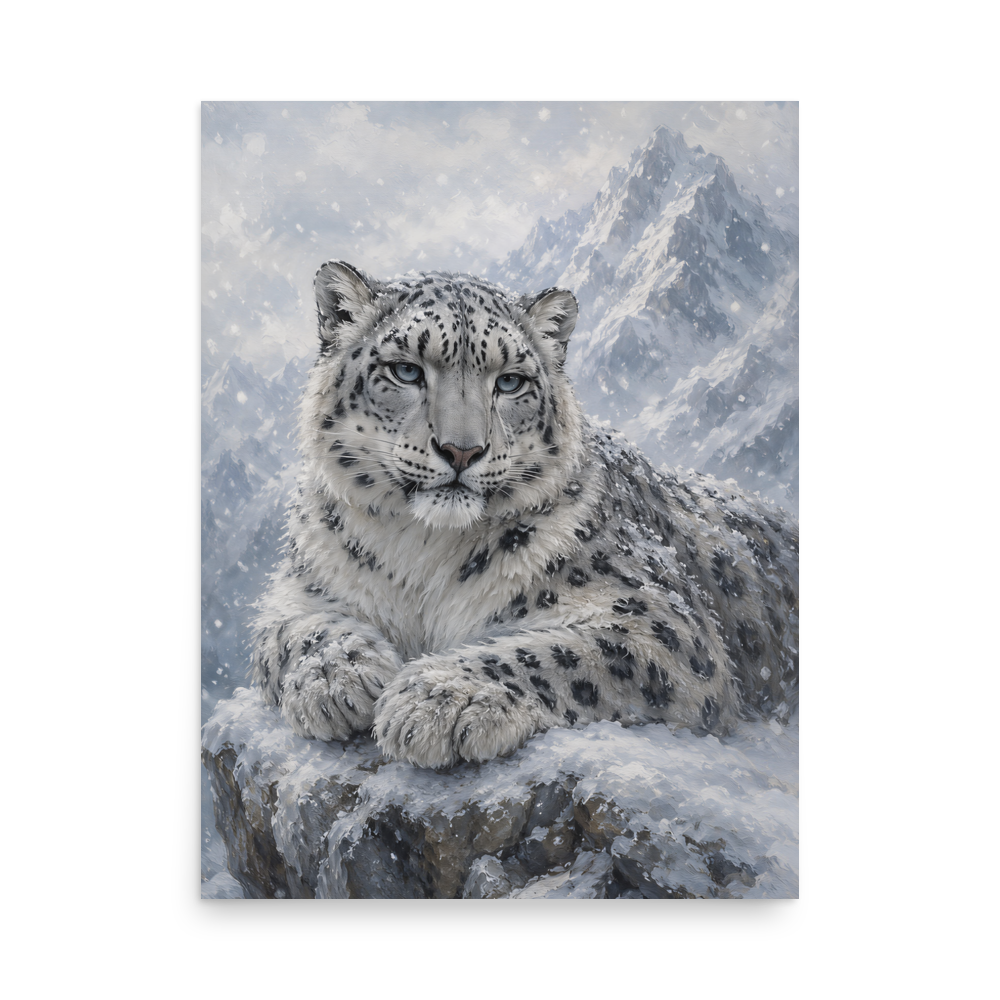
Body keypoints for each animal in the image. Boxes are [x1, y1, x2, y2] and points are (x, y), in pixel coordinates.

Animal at [250, 260, 799, 769]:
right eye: (406, 370)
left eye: (510, 382)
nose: (462, 450)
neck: (419, 552)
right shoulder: (301, 588)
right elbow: (292, 631)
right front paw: (337, 678)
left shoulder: (660, 623)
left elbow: (557, 652)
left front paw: (438, 699)